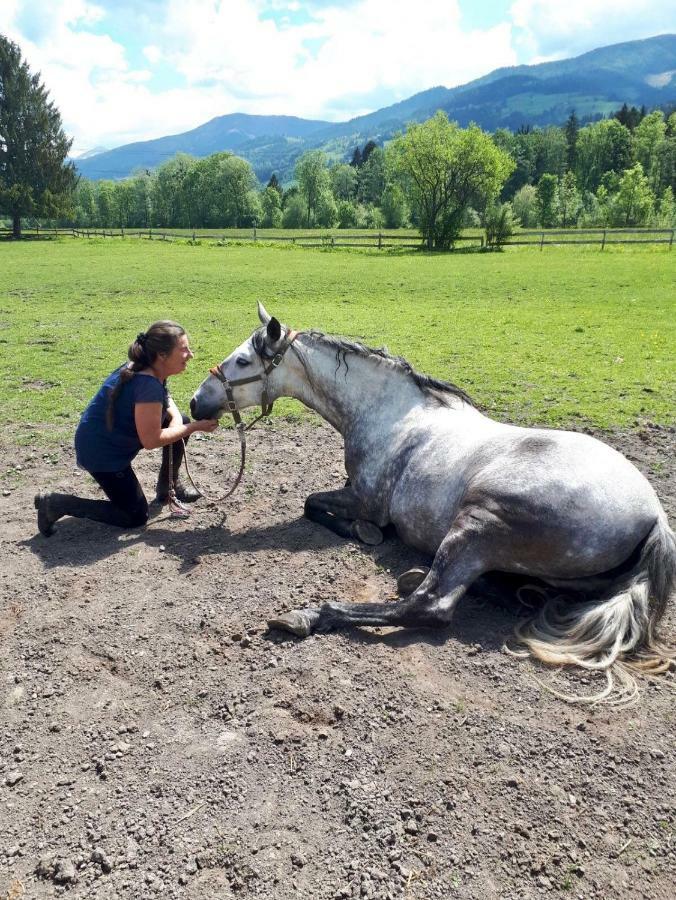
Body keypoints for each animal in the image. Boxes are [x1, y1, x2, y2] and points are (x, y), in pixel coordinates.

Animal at [191, 302, 676, 704]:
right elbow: (312, 503)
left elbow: (311, 504)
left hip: (477, 525)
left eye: (242, 361)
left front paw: (364, 534)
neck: (391, 415)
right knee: (512, 595)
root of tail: (653, 516)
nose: (196, 402)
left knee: (431, 604)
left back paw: (309, 614)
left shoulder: (364, 499)